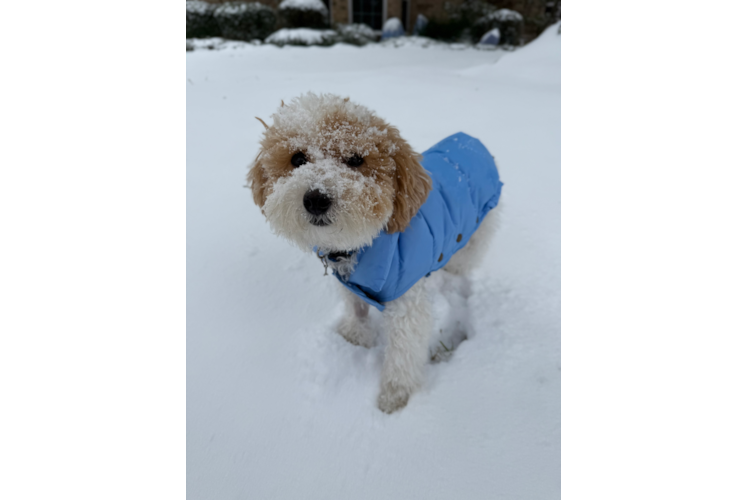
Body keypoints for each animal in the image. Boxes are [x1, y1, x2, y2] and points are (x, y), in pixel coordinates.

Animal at [247, 92, 502, 412]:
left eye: (356, 159)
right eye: (297, 159)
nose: (316, 198)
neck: (360, 246)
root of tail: (471, 140)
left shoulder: (407, 304)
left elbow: (403, 353)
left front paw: (394, 395)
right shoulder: (352, 287)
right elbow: (355, 310)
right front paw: (355, 336)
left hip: (481, 227)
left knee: (467, 259)